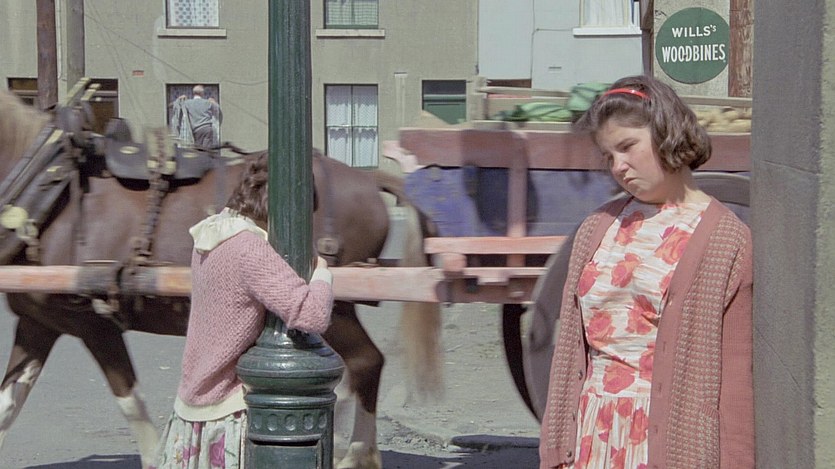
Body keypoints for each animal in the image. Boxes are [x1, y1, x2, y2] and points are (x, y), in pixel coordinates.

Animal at [0, 88, 441, 469]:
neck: (49, 185)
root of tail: (367, 180)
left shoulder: (93, 321)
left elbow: (131, 404)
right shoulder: (39, 323)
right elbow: (6, 406)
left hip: (335, 310)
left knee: (366, 361)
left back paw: (355, 453)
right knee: (365, 363)